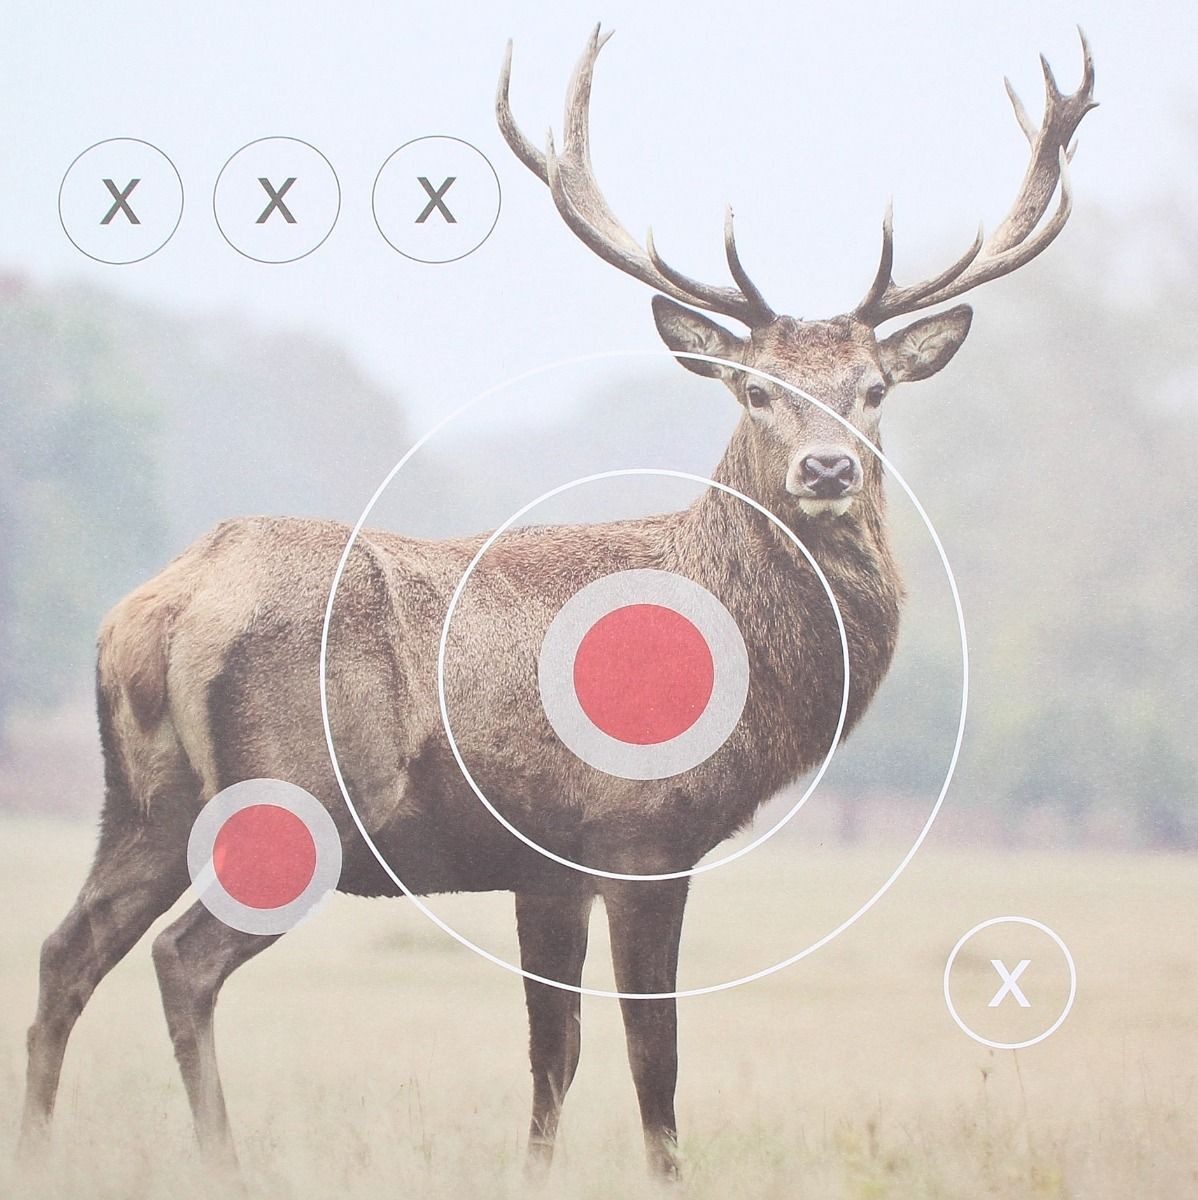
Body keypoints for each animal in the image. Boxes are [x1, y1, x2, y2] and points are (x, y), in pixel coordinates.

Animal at [19, 25, 1096, 1183]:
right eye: (754, 388)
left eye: (875, 390)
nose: (826, 468)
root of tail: (159, 610)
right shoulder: (644, 834)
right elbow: (651, 1055)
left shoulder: (545, 867)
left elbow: (553, 1055)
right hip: (300, 794)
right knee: (183, 958)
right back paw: (224, 1164)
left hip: (143, 801)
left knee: (67, 948)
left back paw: (35, 1153)